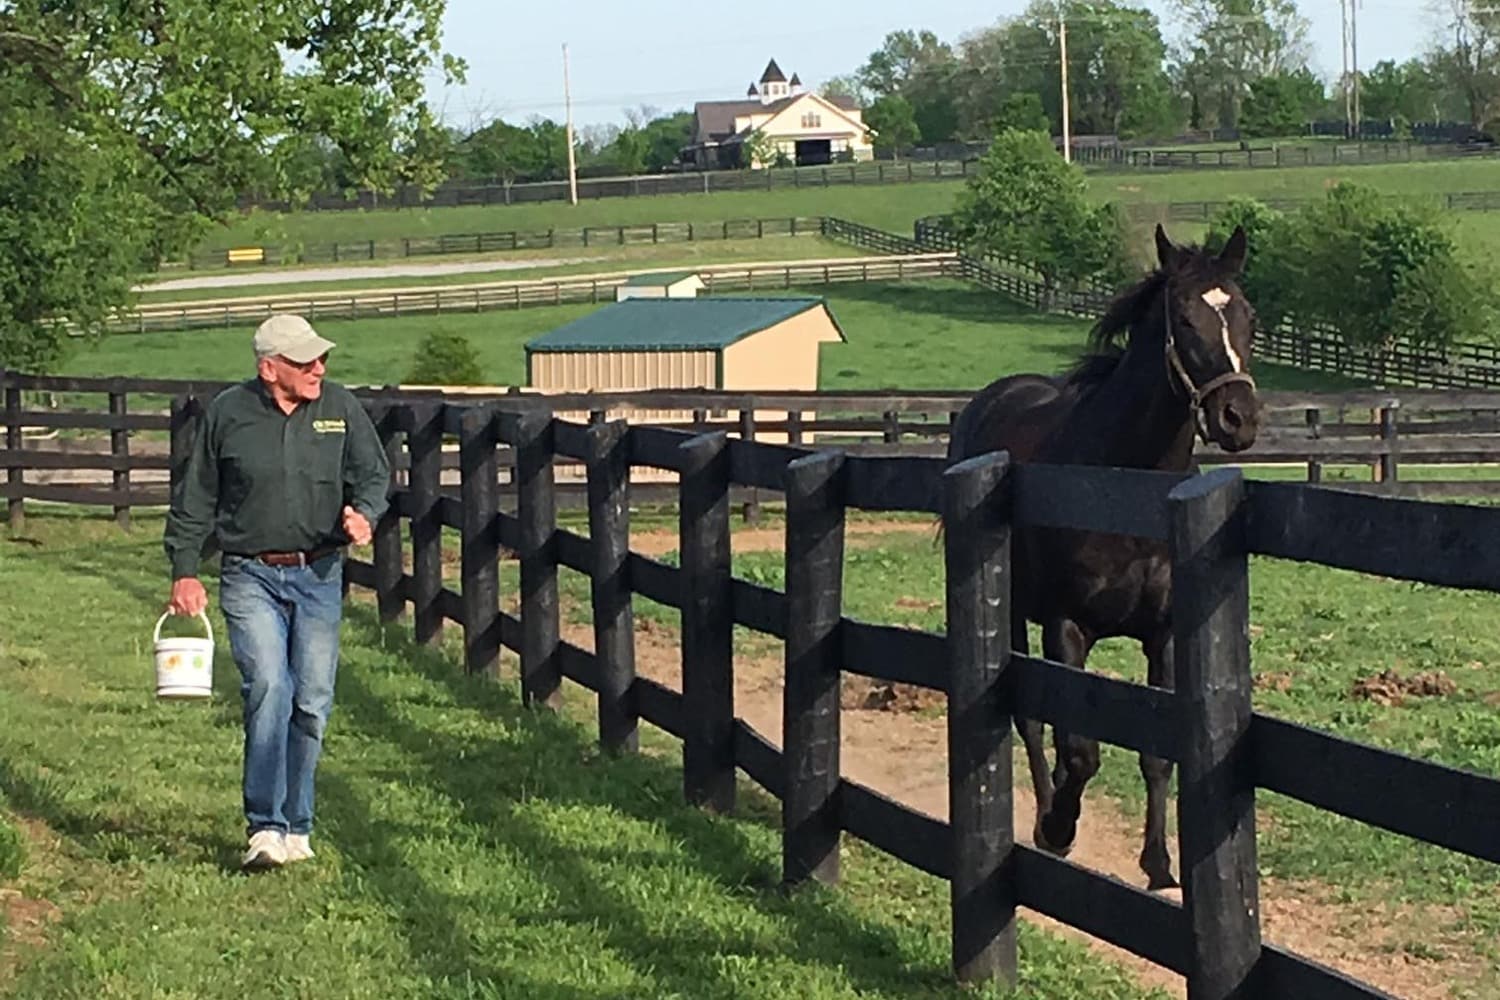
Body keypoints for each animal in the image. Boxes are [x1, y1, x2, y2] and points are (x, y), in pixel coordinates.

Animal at [948, 223, 1266, 887]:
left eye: (1248, 316)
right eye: (1184, 317)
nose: (1238, 418)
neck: (1119, 491)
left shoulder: (1165, 635)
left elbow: (1156, 755)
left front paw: (1160, 863)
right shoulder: (1066, 627)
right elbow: (1080, 753)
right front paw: (1059, 825)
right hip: (1011, 611)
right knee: (1030, 720)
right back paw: (1047, 820)